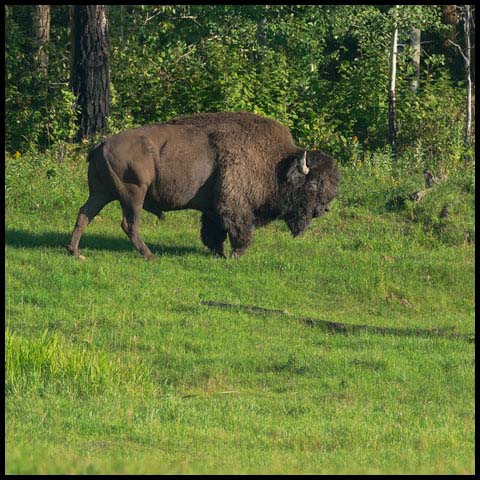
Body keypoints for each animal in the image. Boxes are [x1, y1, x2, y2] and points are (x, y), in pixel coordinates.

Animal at [65, 112, 340, 258]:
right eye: (313, 185)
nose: (324, 209)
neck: (276, 164)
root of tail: (101, 145)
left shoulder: (212, 210)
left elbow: (213, 232)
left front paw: (219, 254)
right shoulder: (234, 206)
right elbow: (239, 230)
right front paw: (235, 255)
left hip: (101, 193)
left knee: (84, 214)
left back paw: (75, 252)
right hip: (133, 194)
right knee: (129, 223)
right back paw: (149, 255)